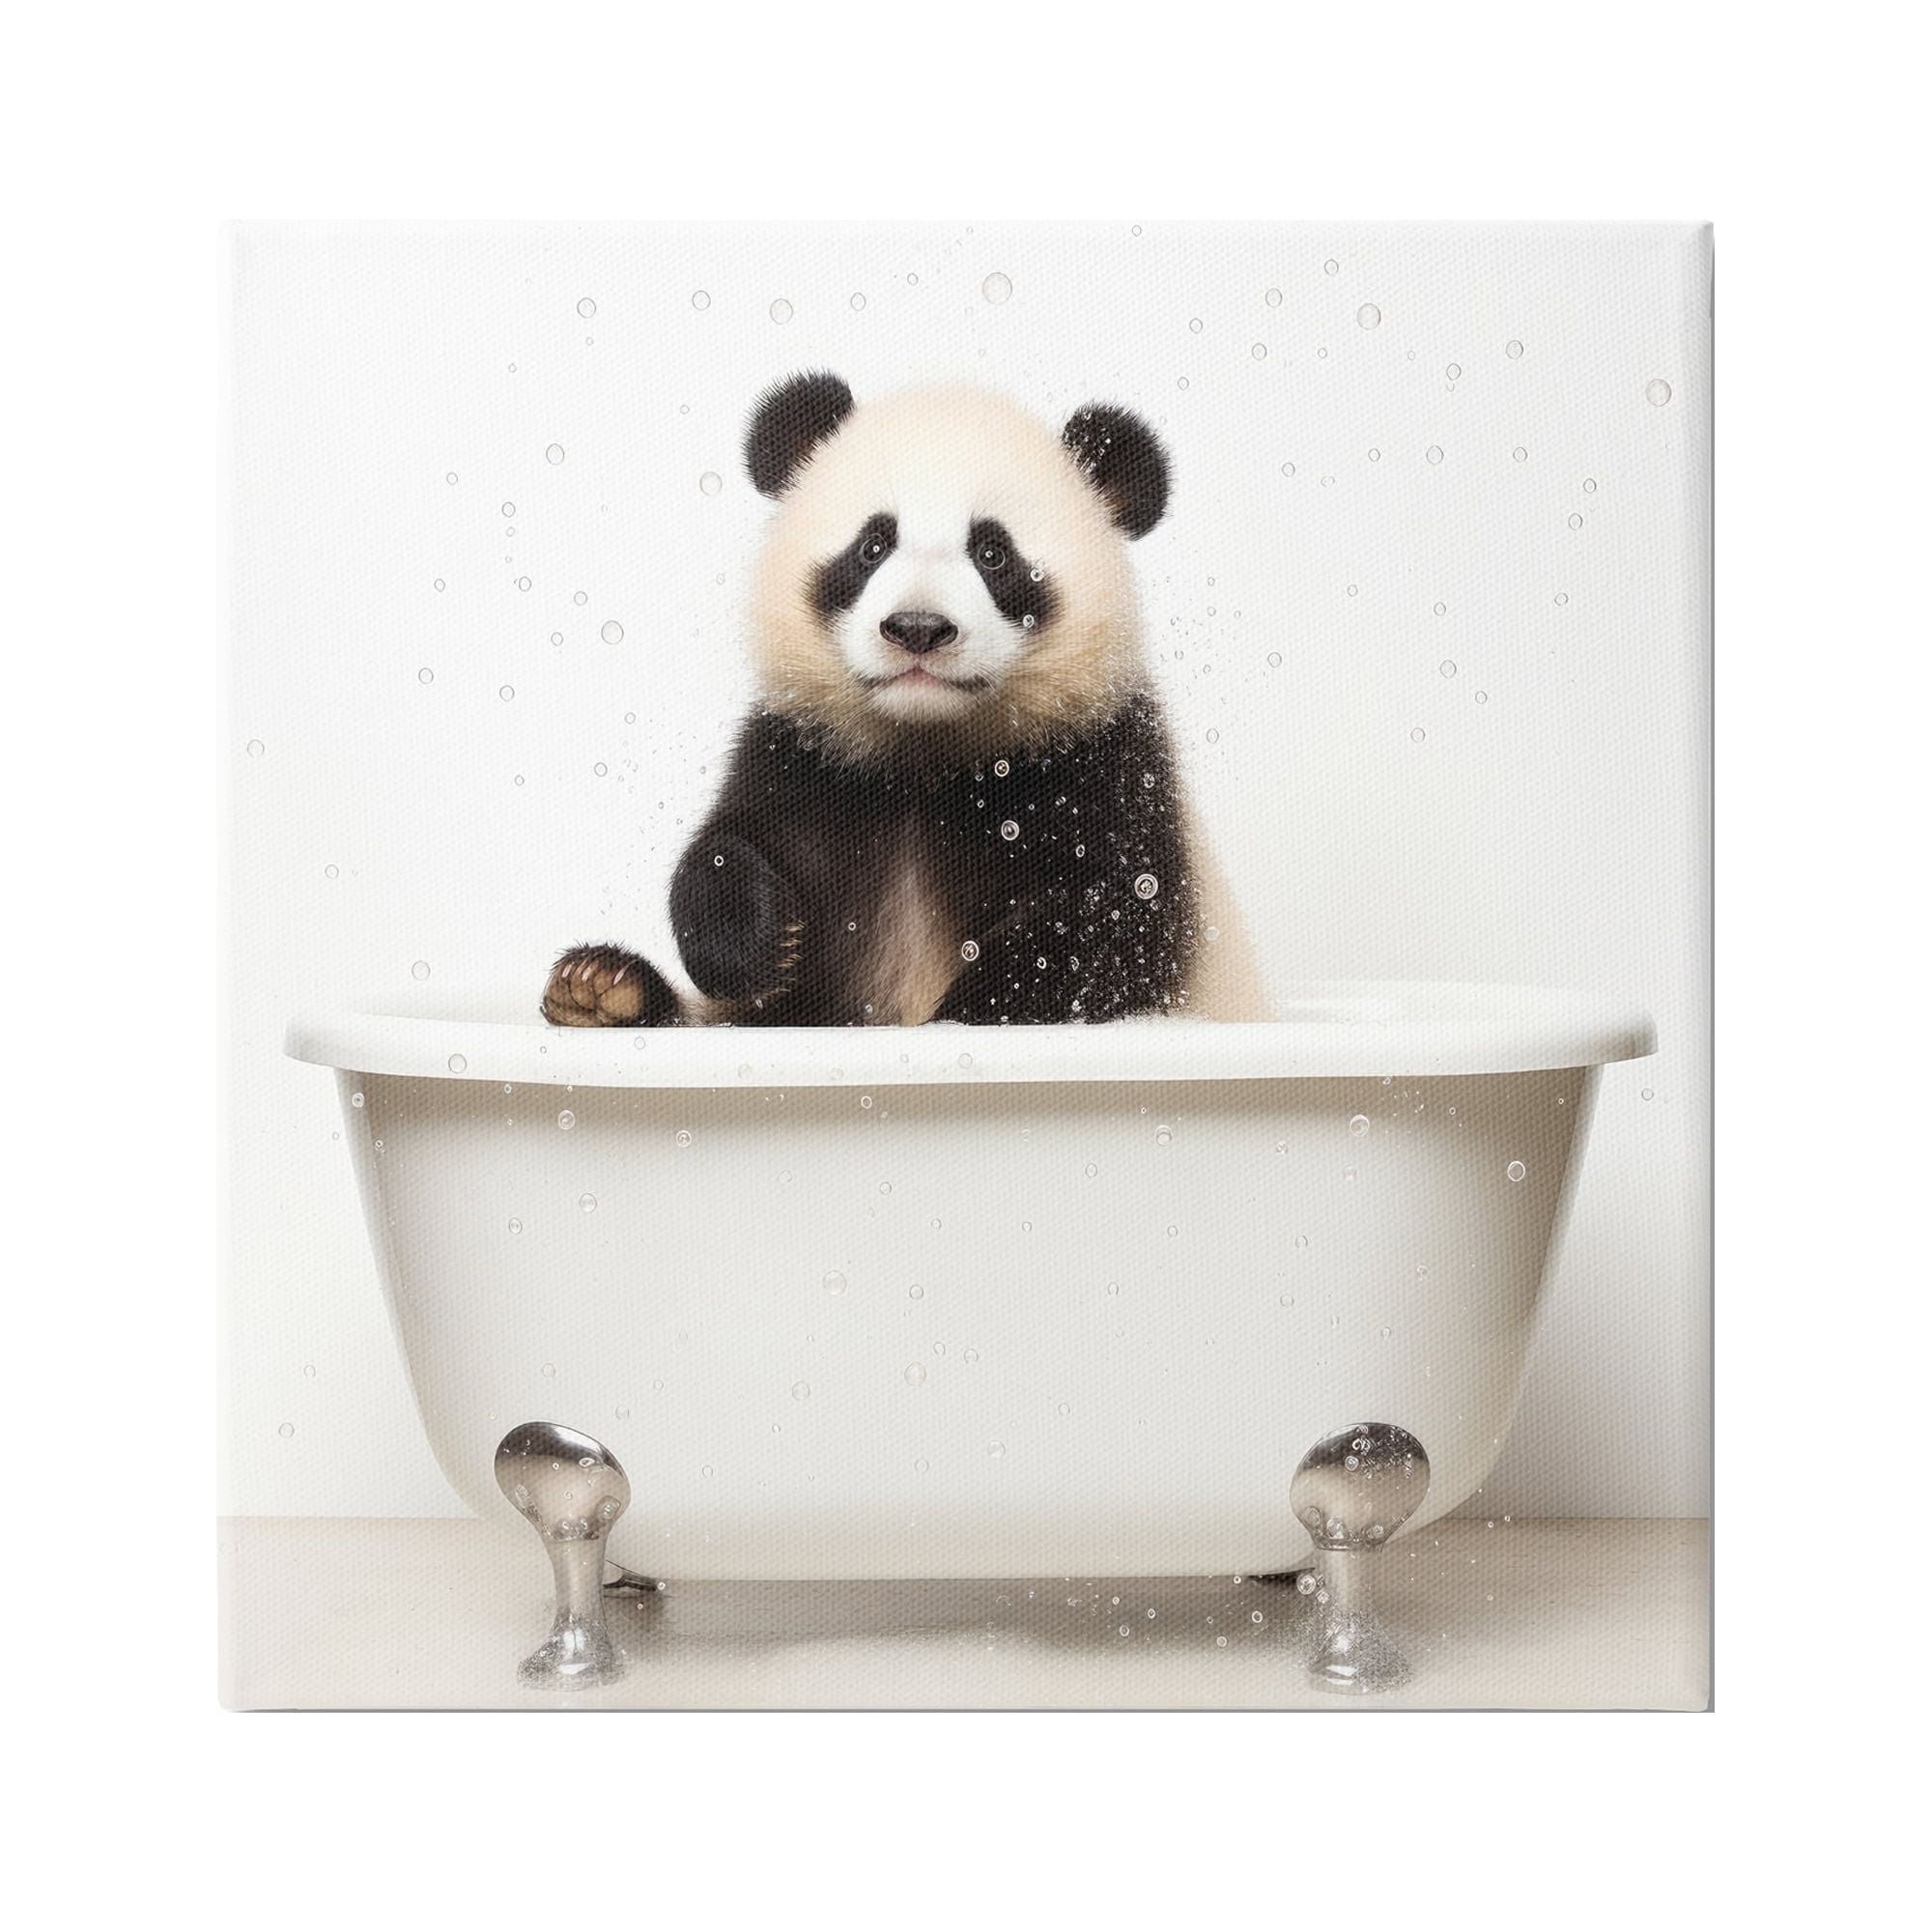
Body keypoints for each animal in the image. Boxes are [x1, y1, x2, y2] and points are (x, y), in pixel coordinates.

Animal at [541, 372, 1266, 1030]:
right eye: (872, 545)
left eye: (993, 553)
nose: (918, 627)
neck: (925, 755)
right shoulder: (807, 751)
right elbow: (732, 844)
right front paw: (758, 944)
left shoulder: (1100, 762)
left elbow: (1112, 923)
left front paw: (968, 1011)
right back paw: (601, 987)